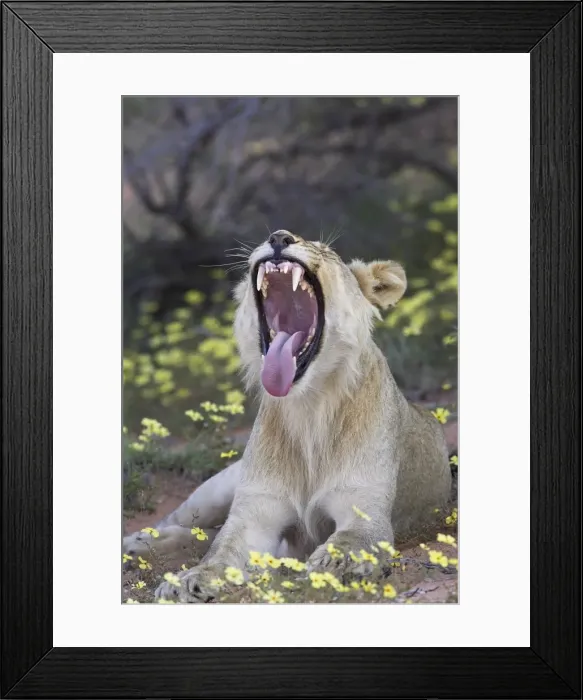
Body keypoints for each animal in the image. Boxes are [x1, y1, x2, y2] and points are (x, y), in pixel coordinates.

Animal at [123, 230, 451, 602]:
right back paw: (137, 542)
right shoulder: (254, 514)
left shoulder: (365, 509)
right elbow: (220, 552)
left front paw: (332, 565)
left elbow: (350, 541)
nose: (279, 237)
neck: (307, 408)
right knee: (190, 526)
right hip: (215, 491)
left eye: (325, 250)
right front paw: (189, 581)